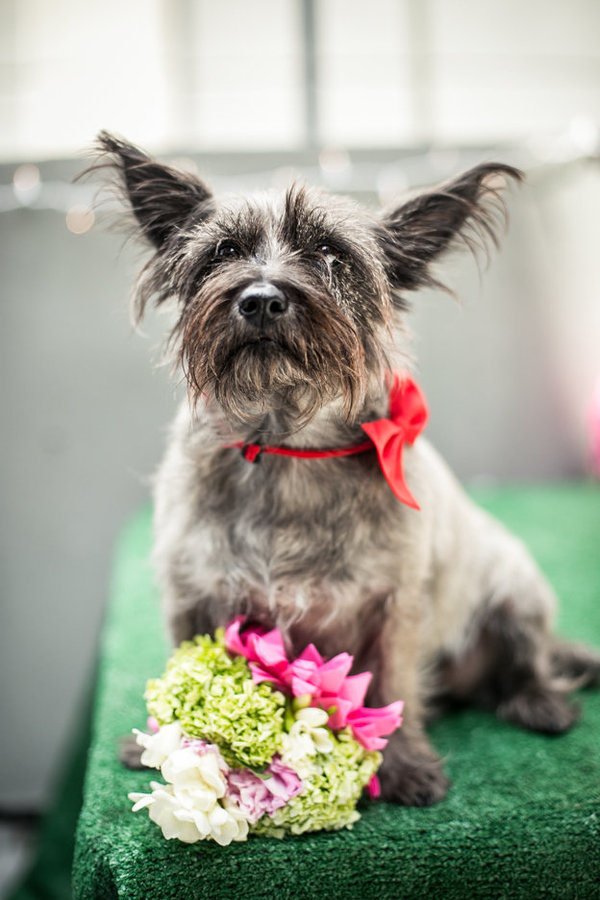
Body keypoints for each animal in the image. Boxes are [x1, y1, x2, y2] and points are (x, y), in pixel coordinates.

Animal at [95, 134, 600, 808]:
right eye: (224, 252)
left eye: (331, 254)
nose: (261, 299)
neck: (286, 446)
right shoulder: (191, 595)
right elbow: (186, 664)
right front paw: (165, 742)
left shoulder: (397, 610)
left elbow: (393, 688)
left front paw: (405, 763)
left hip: (516, 589)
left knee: (529, 659)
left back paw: (540, 701)